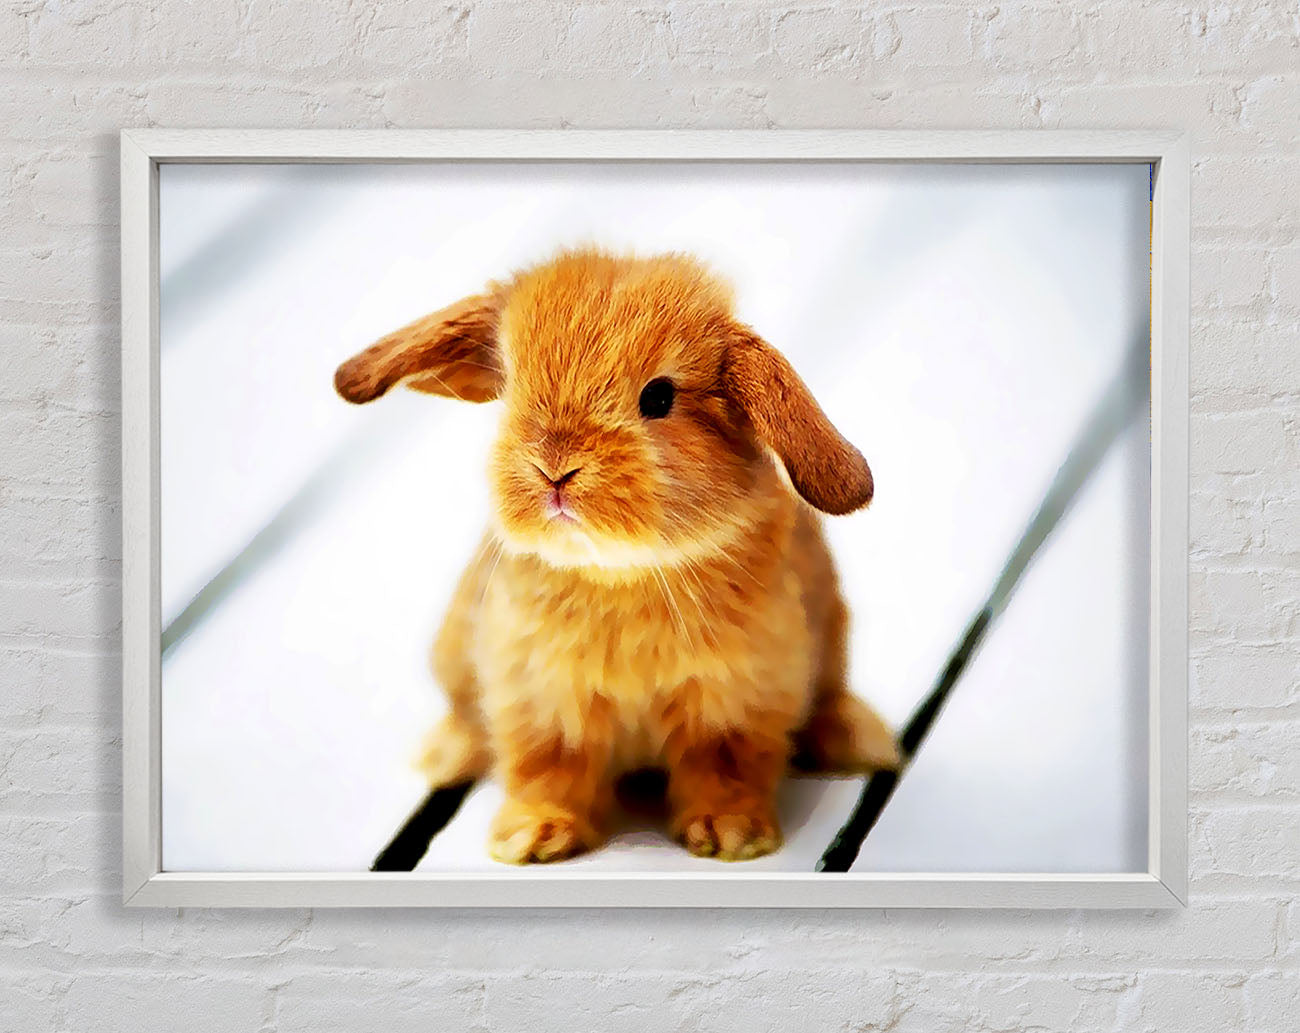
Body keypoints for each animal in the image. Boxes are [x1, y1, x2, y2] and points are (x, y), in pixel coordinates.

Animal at [334, 247, 899, 864]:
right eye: (510, 385)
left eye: (659, 397)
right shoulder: (540, 699)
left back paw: (859, 740)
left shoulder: (737, 701)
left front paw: (731, 834)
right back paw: (443, 756)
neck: (621, 572)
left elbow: (724, 767)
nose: (555, 469)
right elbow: (547, 769)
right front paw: (531, 838)